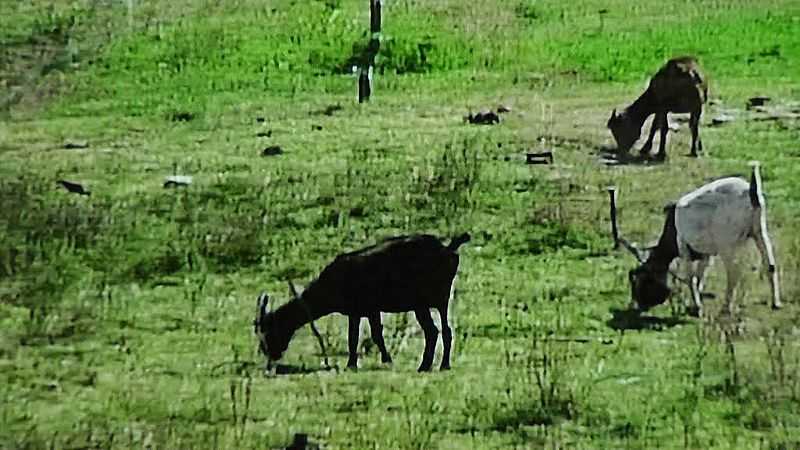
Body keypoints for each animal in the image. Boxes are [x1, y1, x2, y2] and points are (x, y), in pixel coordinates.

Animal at [255, 234, 468, 370]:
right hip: (441, 300)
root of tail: (448, 250)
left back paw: (425, 366)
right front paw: (359, 362)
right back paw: (442, 365)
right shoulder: (360, 312)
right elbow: (358, 336)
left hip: (423, 302)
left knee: (433, 331)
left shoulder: (366, 309)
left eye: (268, 331)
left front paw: (374, 362)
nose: (271, 357)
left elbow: (366, 336)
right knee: (445, 331)